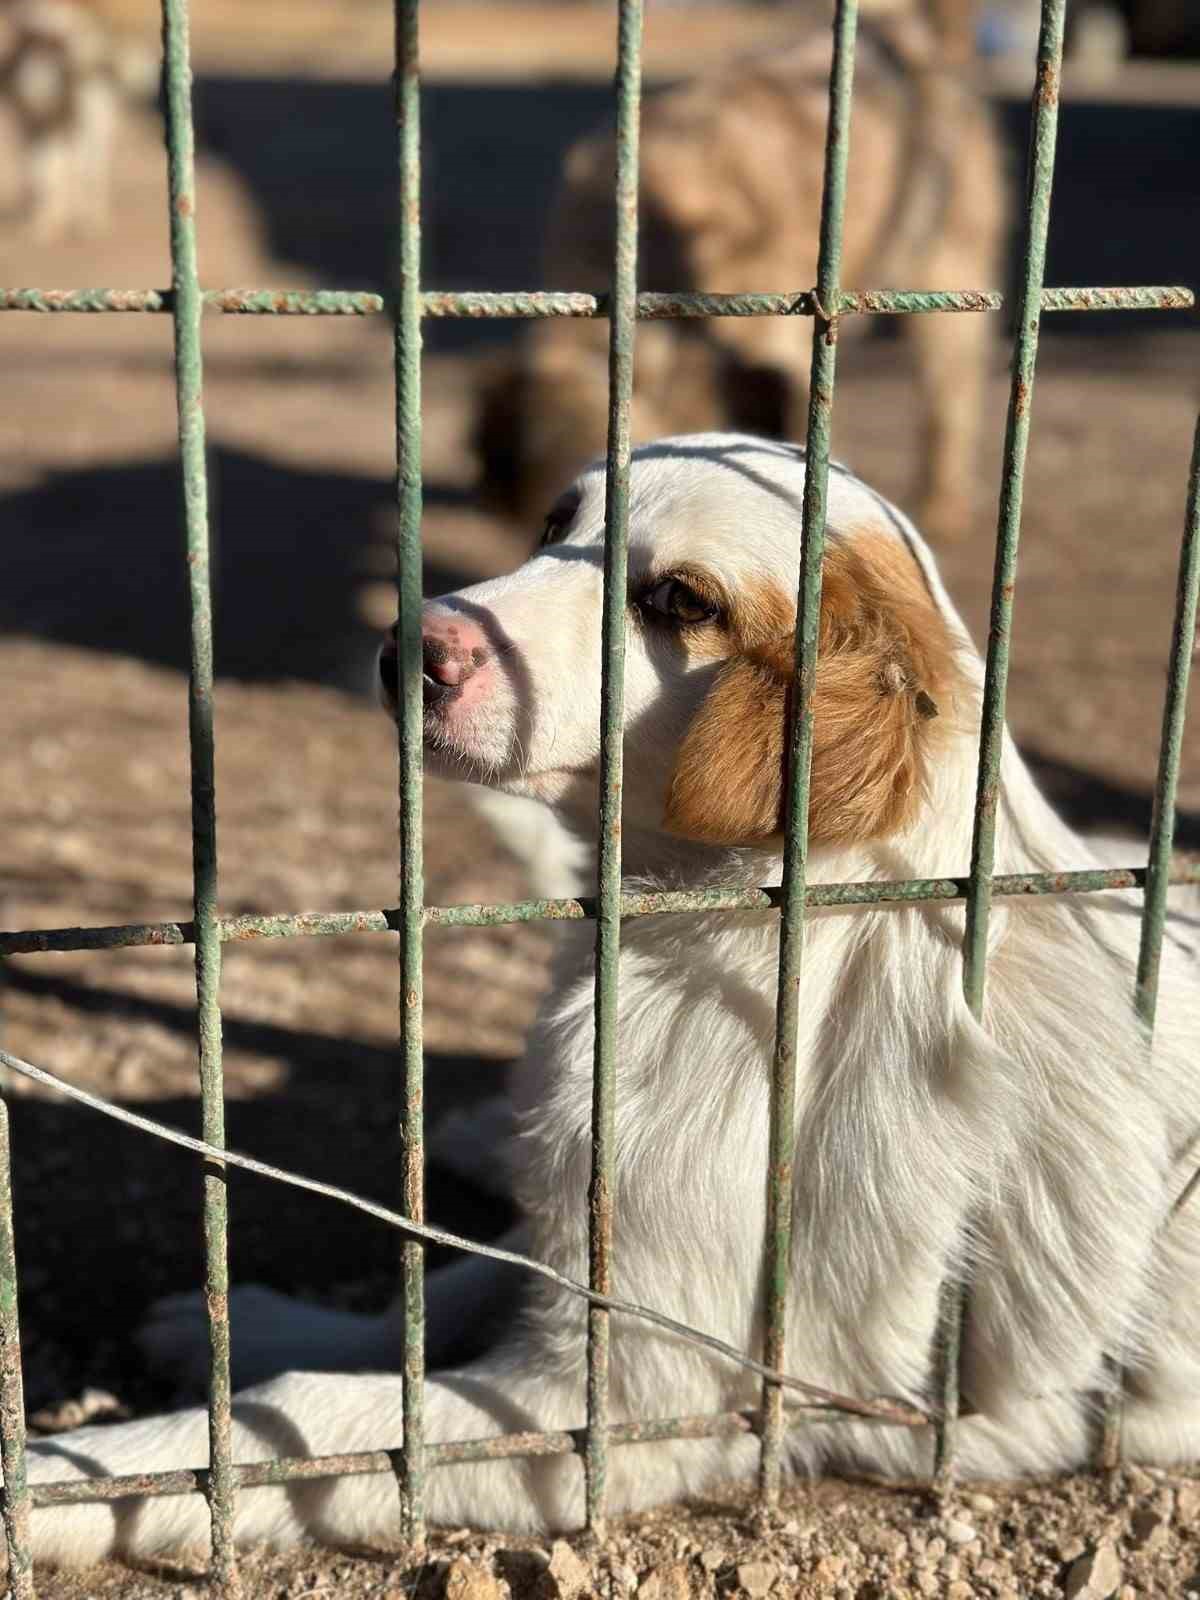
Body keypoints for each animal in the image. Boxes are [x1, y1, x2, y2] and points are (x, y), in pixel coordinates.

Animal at [0, 0, 156, 236]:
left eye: (57, 43)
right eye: (26, 40)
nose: (34, 84)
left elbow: (73, 166)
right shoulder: (34, 118)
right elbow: (40, 170)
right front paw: (43, 224)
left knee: (86, 160)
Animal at [18, 438, 1200, 1561]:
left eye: (679, 601)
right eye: (554, 525)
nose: (404, 648)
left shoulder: (631, 1402)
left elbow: (315, 1423)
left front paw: (61, 1480)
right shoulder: (589, 1252)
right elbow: (442, 1289)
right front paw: (255, 1324)